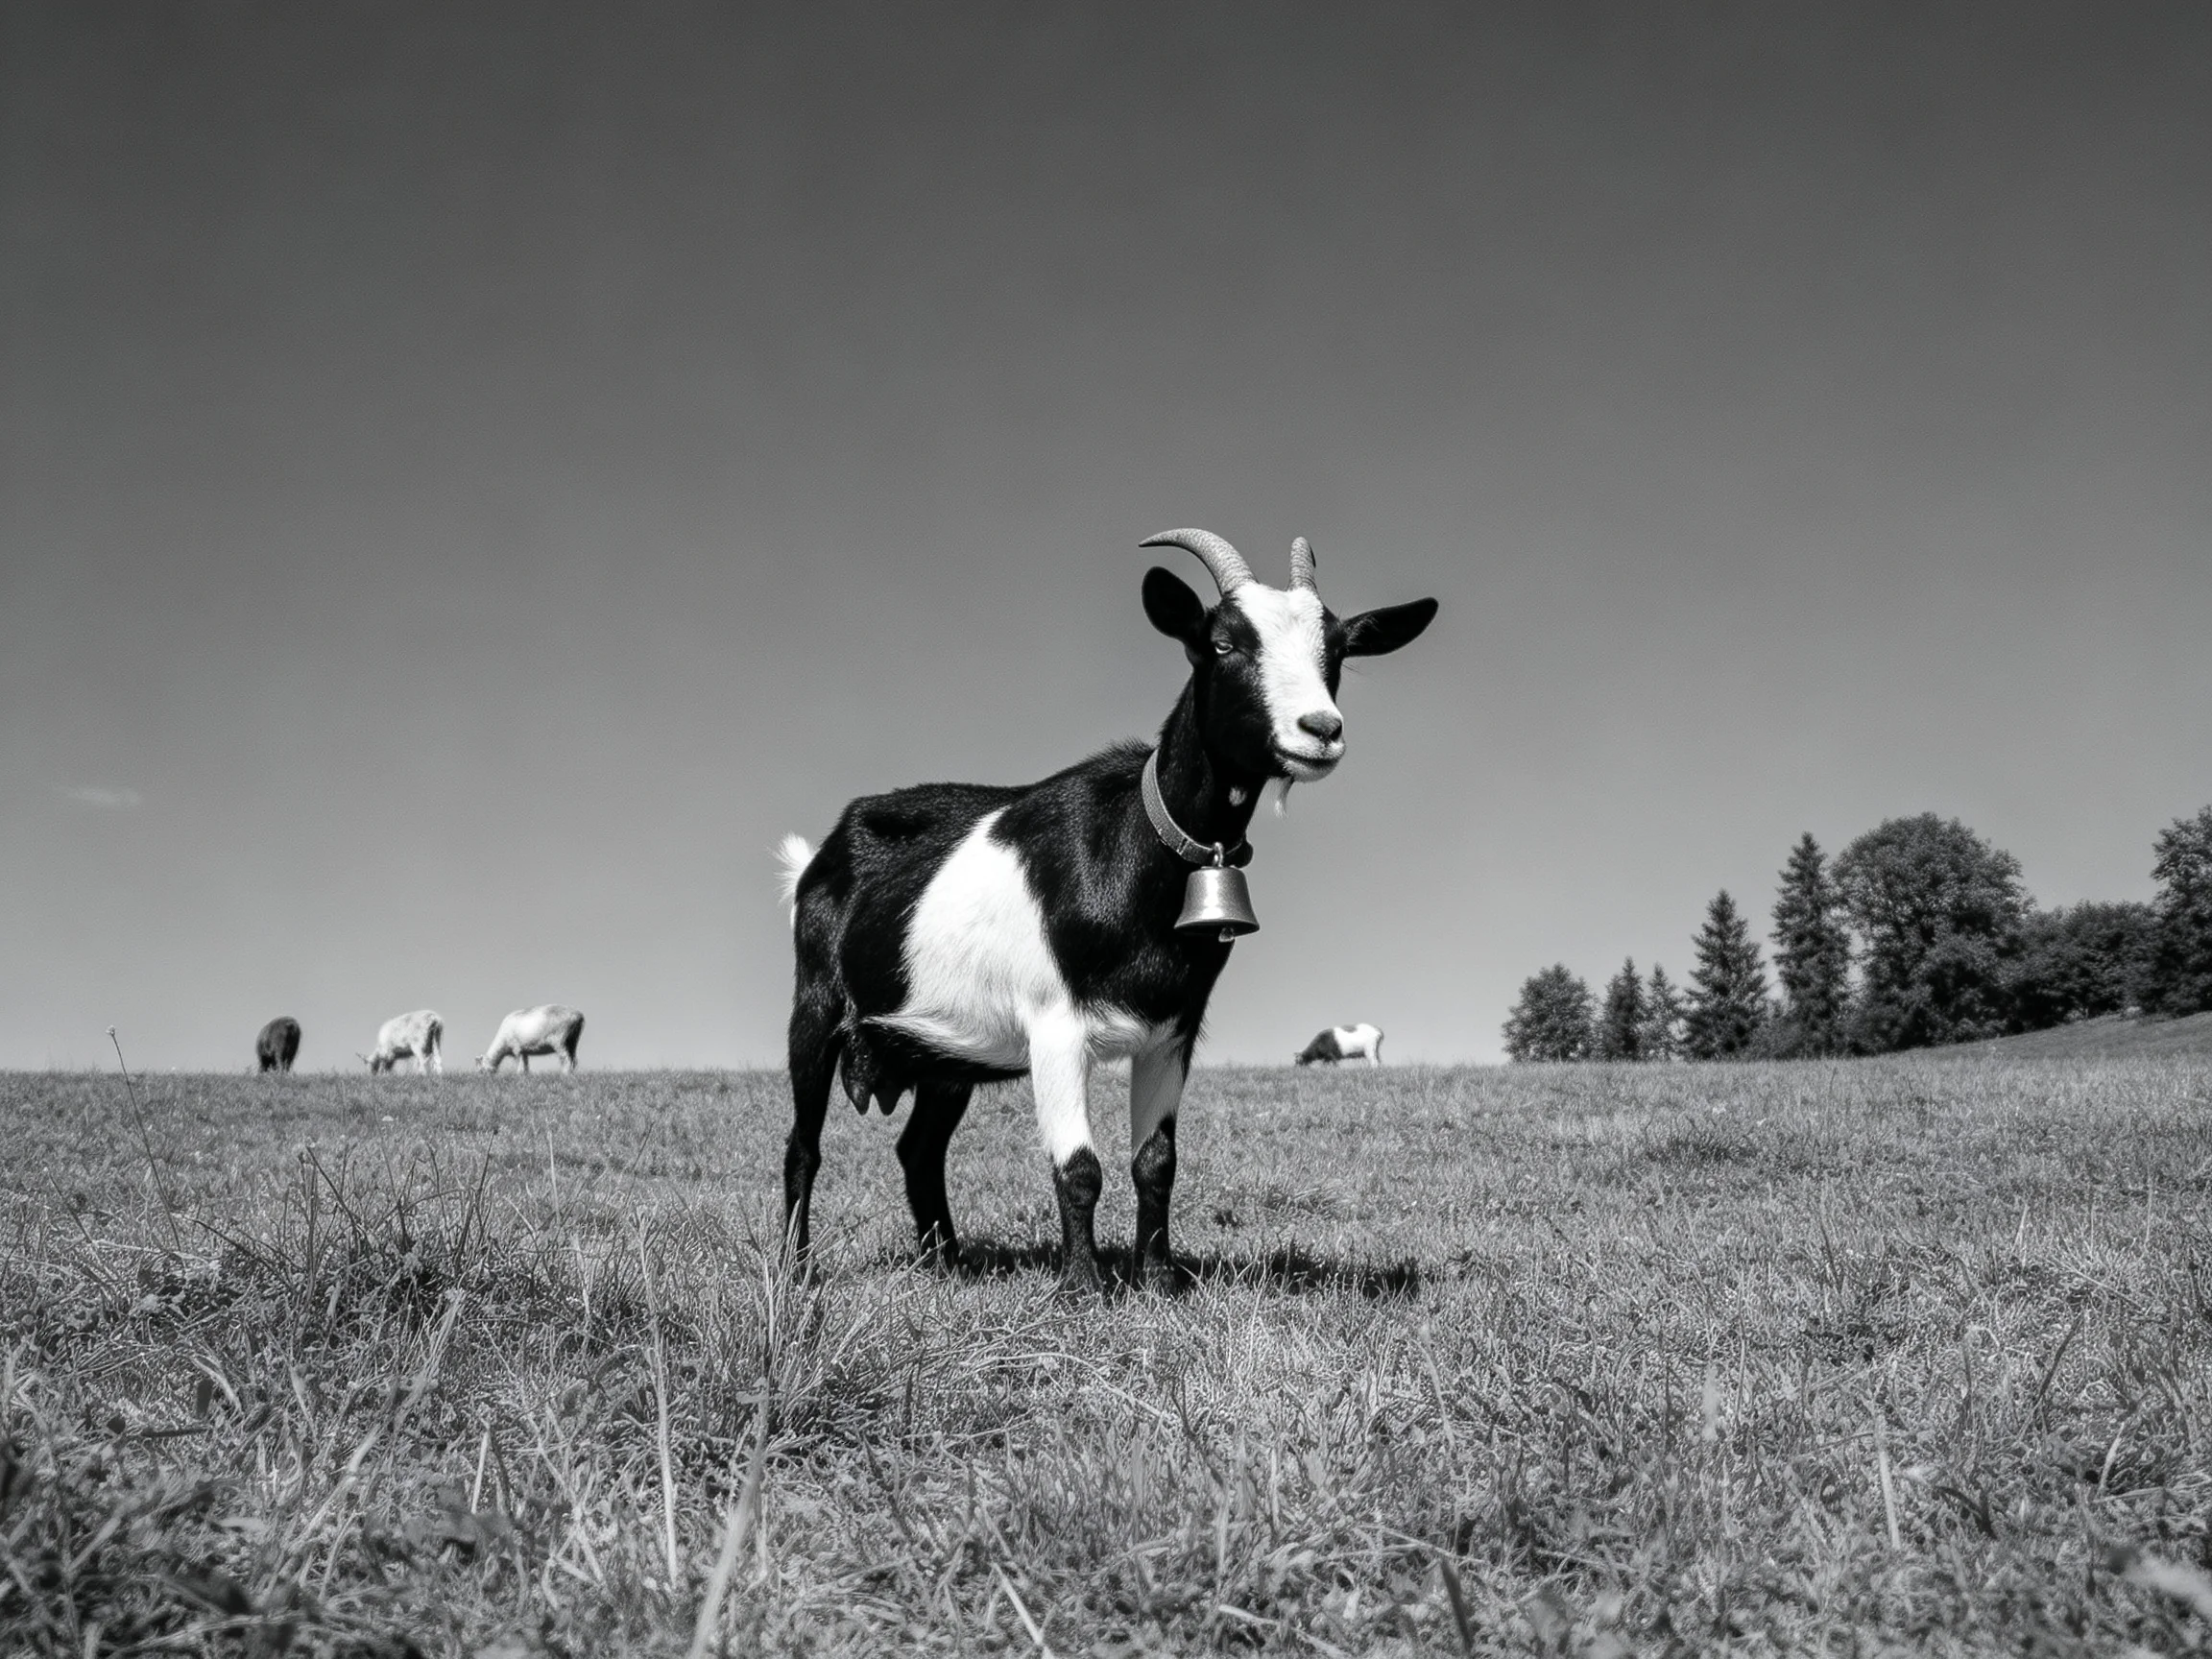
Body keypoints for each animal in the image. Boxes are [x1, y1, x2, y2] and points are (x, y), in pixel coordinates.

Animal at [779, 529, 1435, 1293]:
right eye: (1221, 643)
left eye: (1337, 650)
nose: (1321, 730)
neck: (1133, 847)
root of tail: (821, 855)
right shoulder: (1055, 1025)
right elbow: (1079, 1169)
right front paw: (1082, 1288)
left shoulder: (1173, 1030)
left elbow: (1156, 1163)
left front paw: (1159, 1279)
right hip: (816, 1005)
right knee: (803, 1145)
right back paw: (795, 1273)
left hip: (946, 1050)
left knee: (919, 1149)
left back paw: (948, 1265)